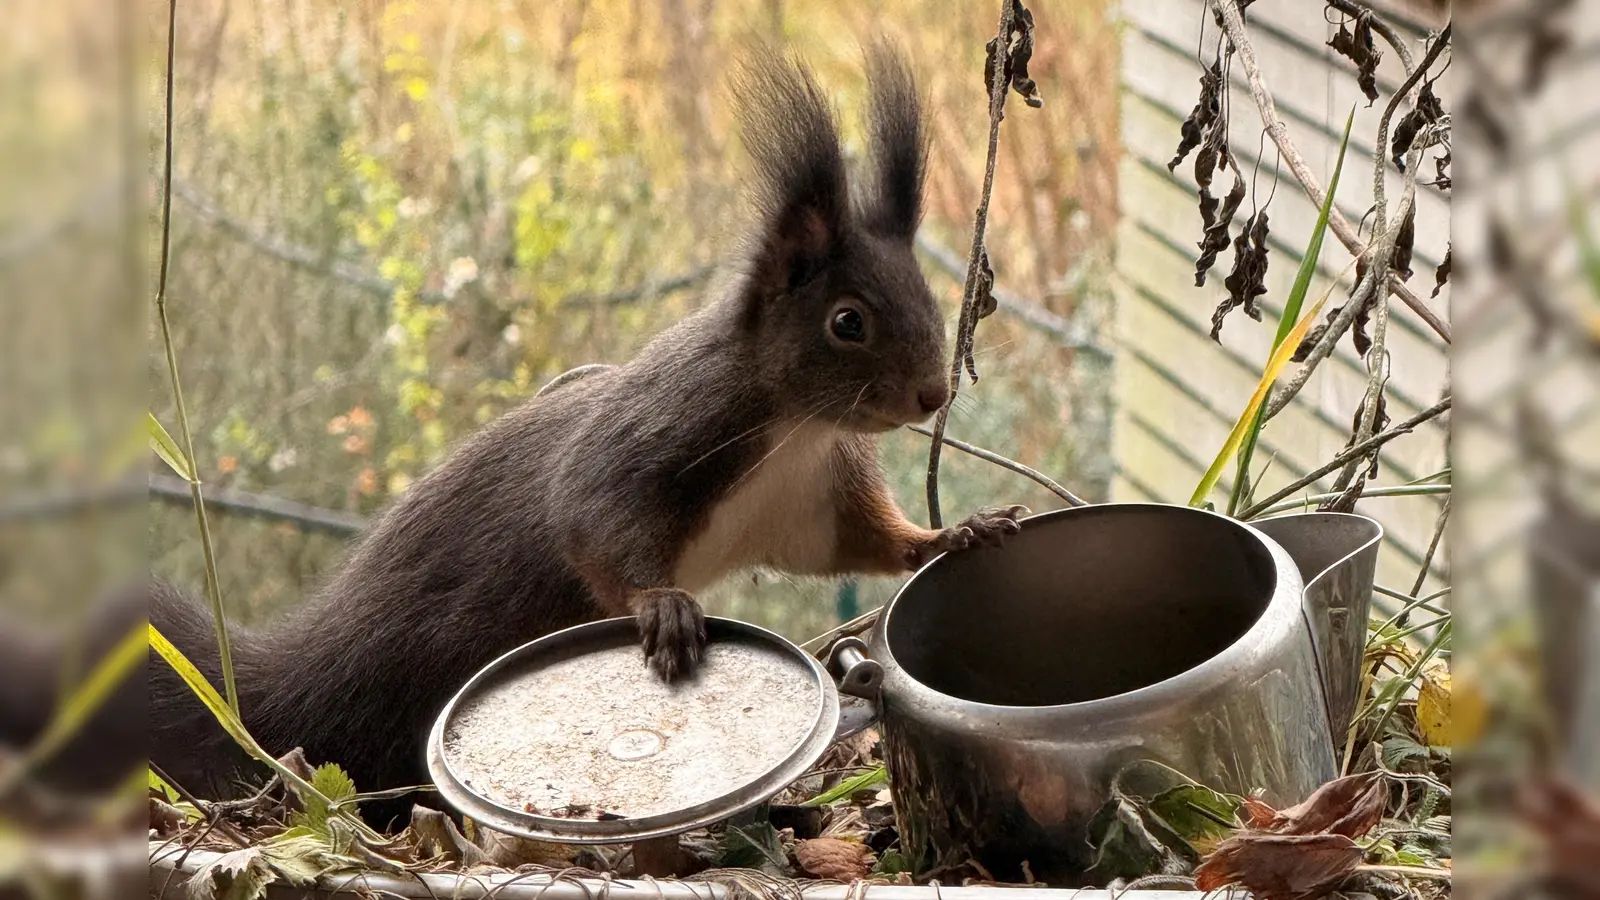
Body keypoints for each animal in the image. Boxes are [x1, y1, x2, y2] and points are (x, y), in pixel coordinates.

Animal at [149, 42, 1027, 827]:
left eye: (926, 295)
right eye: (847, 322)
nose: (933, 393)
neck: (795, 427)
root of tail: (298, 678)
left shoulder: (808, 501)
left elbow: (864, 543)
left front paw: (952, 534)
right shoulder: (657, 436)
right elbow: (594, 519)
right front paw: (662, 606)